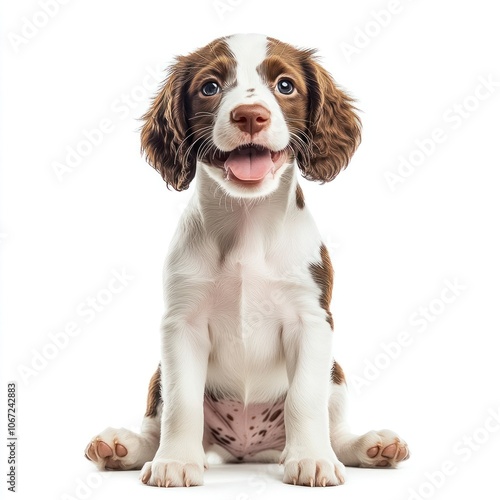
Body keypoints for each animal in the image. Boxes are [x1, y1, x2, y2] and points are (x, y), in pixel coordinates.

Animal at [84, 34, 408, 488]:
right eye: (210, 87)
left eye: (285, 85)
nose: (250, 116)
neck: (246, 223)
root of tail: (245, 449)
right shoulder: (181, 325)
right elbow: (181, 404)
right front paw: (176, 462)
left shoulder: (312, 321)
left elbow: (305, 398)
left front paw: (312, 459)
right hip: (160, 372)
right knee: (156, 420)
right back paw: (124, 446)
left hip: (336, 371)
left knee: (335, 424)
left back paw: (368, 446)